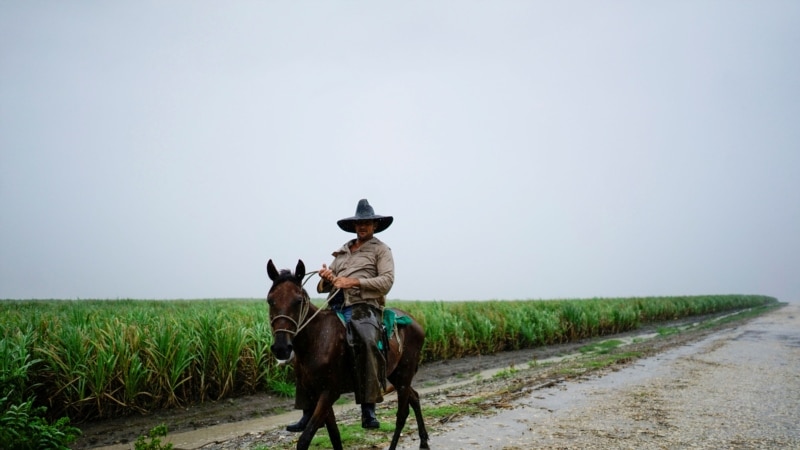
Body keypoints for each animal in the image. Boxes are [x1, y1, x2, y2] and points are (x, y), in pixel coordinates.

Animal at [268, 258, 432, 450]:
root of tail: (415, 322)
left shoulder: (329, 393)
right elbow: (334, 435)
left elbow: (305, 439)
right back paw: (423, 441)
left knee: (402, 413)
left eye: (298, 300)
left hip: (405, 372)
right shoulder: (317, 392)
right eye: (270, 300)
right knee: (414, 398)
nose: (281, 348)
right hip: (394, 374)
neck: (317, 339)